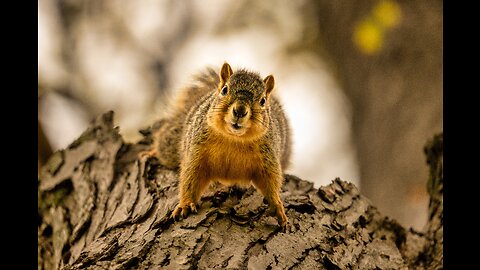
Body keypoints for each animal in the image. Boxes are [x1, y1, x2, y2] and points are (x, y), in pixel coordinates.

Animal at [142, 61, 290, 228]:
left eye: (263, 101)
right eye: (225, 90)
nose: (240, 110)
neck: (233, 139)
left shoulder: (268, 157)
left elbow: (270, 182)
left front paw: (278, 207)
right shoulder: (196, 150)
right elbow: (190, 176)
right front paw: (185, 204)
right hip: (172, 143)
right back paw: (152, 152)